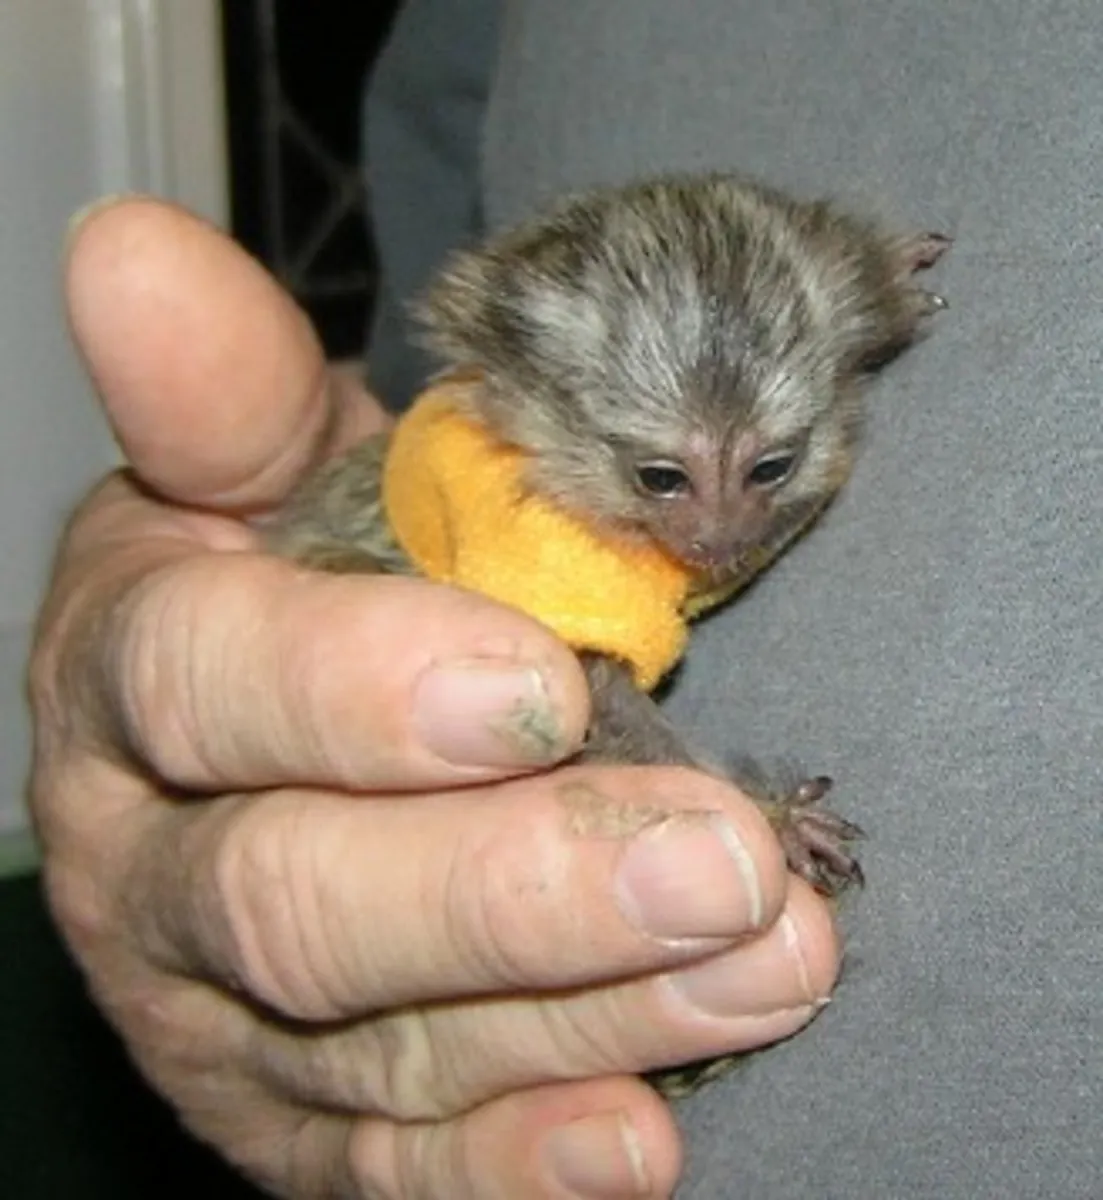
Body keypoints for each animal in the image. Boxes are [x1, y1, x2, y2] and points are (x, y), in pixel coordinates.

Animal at [264, 171, 950, 1096]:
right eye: (662, 478)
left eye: (767, 468)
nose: (716, 538)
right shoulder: (546, 551)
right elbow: (587, 690)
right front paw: (767, 821)